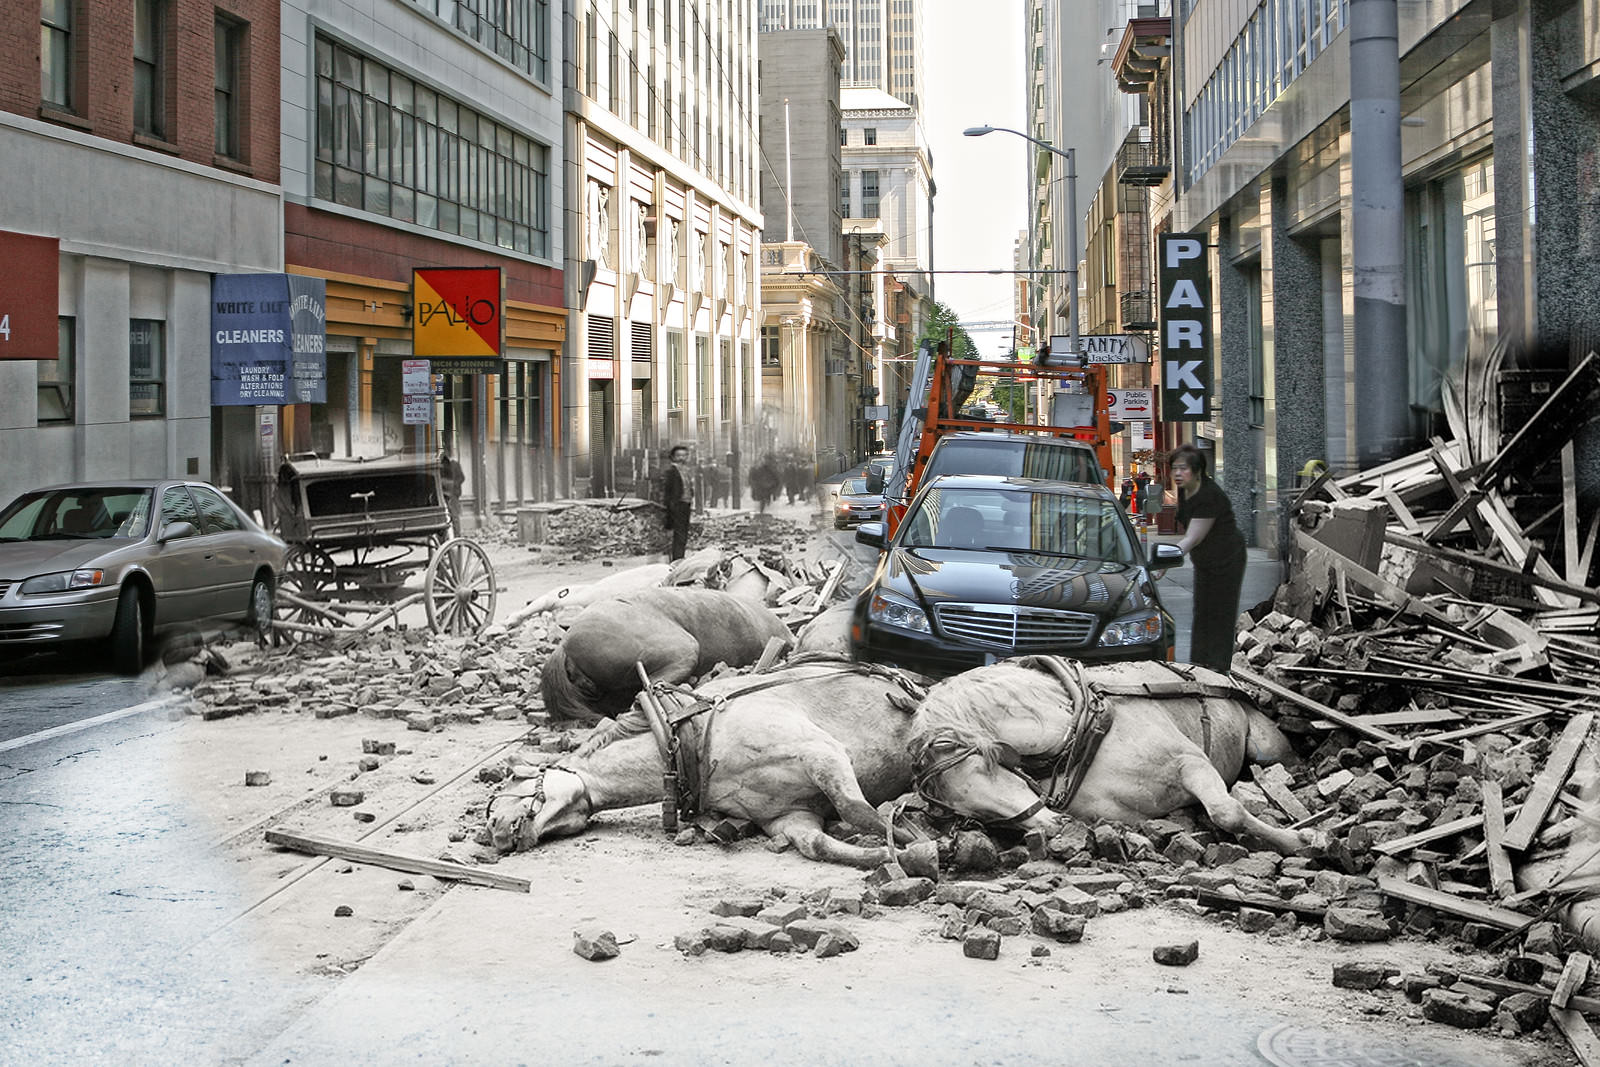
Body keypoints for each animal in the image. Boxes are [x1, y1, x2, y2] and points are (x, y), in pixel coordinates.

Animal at [486, 659, 928, 870]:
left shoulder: (822, 753)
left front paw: (920, 841)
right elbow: (818, 845)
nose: (496, 832)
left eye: (514, 784)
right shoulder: (788, 817)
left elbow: (858, 811)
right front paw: (905, 857)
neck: (692, 737)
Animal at [908, 655, 1318, 857]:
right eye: (970, 814)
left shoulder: (1191, 761)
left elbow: (1226, 811)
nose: (1051, 826)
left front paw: (1299, 841)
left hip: (1266, 746)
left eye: (989, 767)